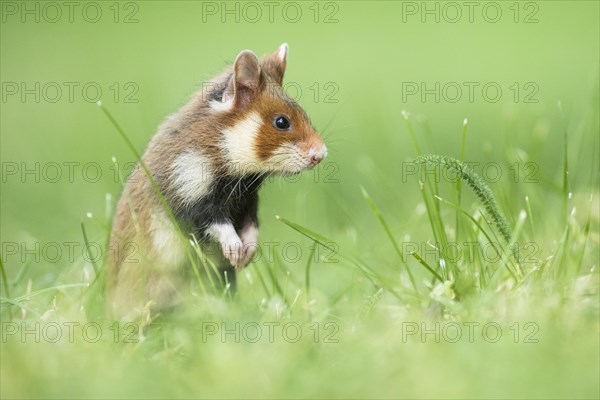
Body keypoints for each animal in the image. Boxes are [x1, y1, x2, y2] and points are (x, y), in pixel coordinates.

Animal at [105, 43, 326, 318]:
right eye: (282, 122)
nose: (321, 155)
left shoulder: (248, 202)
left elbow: (252, 227)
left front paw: (245, 256)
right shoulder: (189, 198)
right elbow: (217, 224)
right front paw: (235, 251)